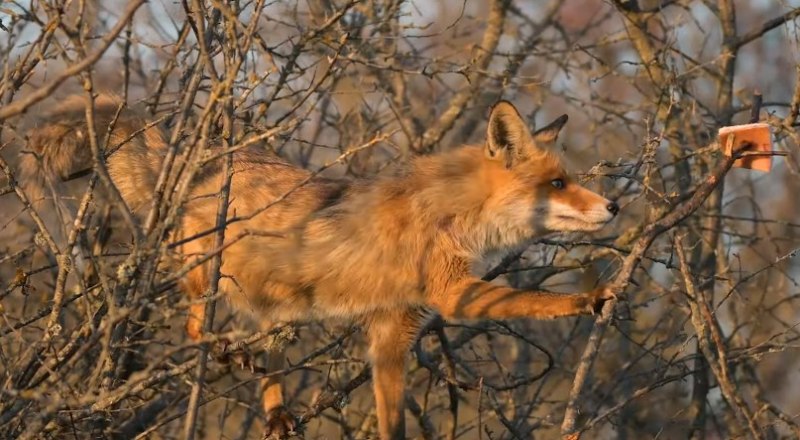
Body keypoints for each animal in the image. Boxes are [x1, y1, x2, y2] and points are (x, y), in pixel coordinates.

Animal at [18, 96, 620, 440]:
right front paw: (587, 298)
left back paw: (276, 411)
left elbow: (392, 420)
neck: (454, 212)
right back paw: (221, 351)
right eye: (558, 183)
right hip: (208, 280)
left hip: (275, 304)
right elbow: (536, 302)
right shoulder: (452, 293)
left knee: (269, 353)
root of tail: (205, 163)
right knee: (194, 328)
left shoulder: (393, 332)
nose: (613, 206)